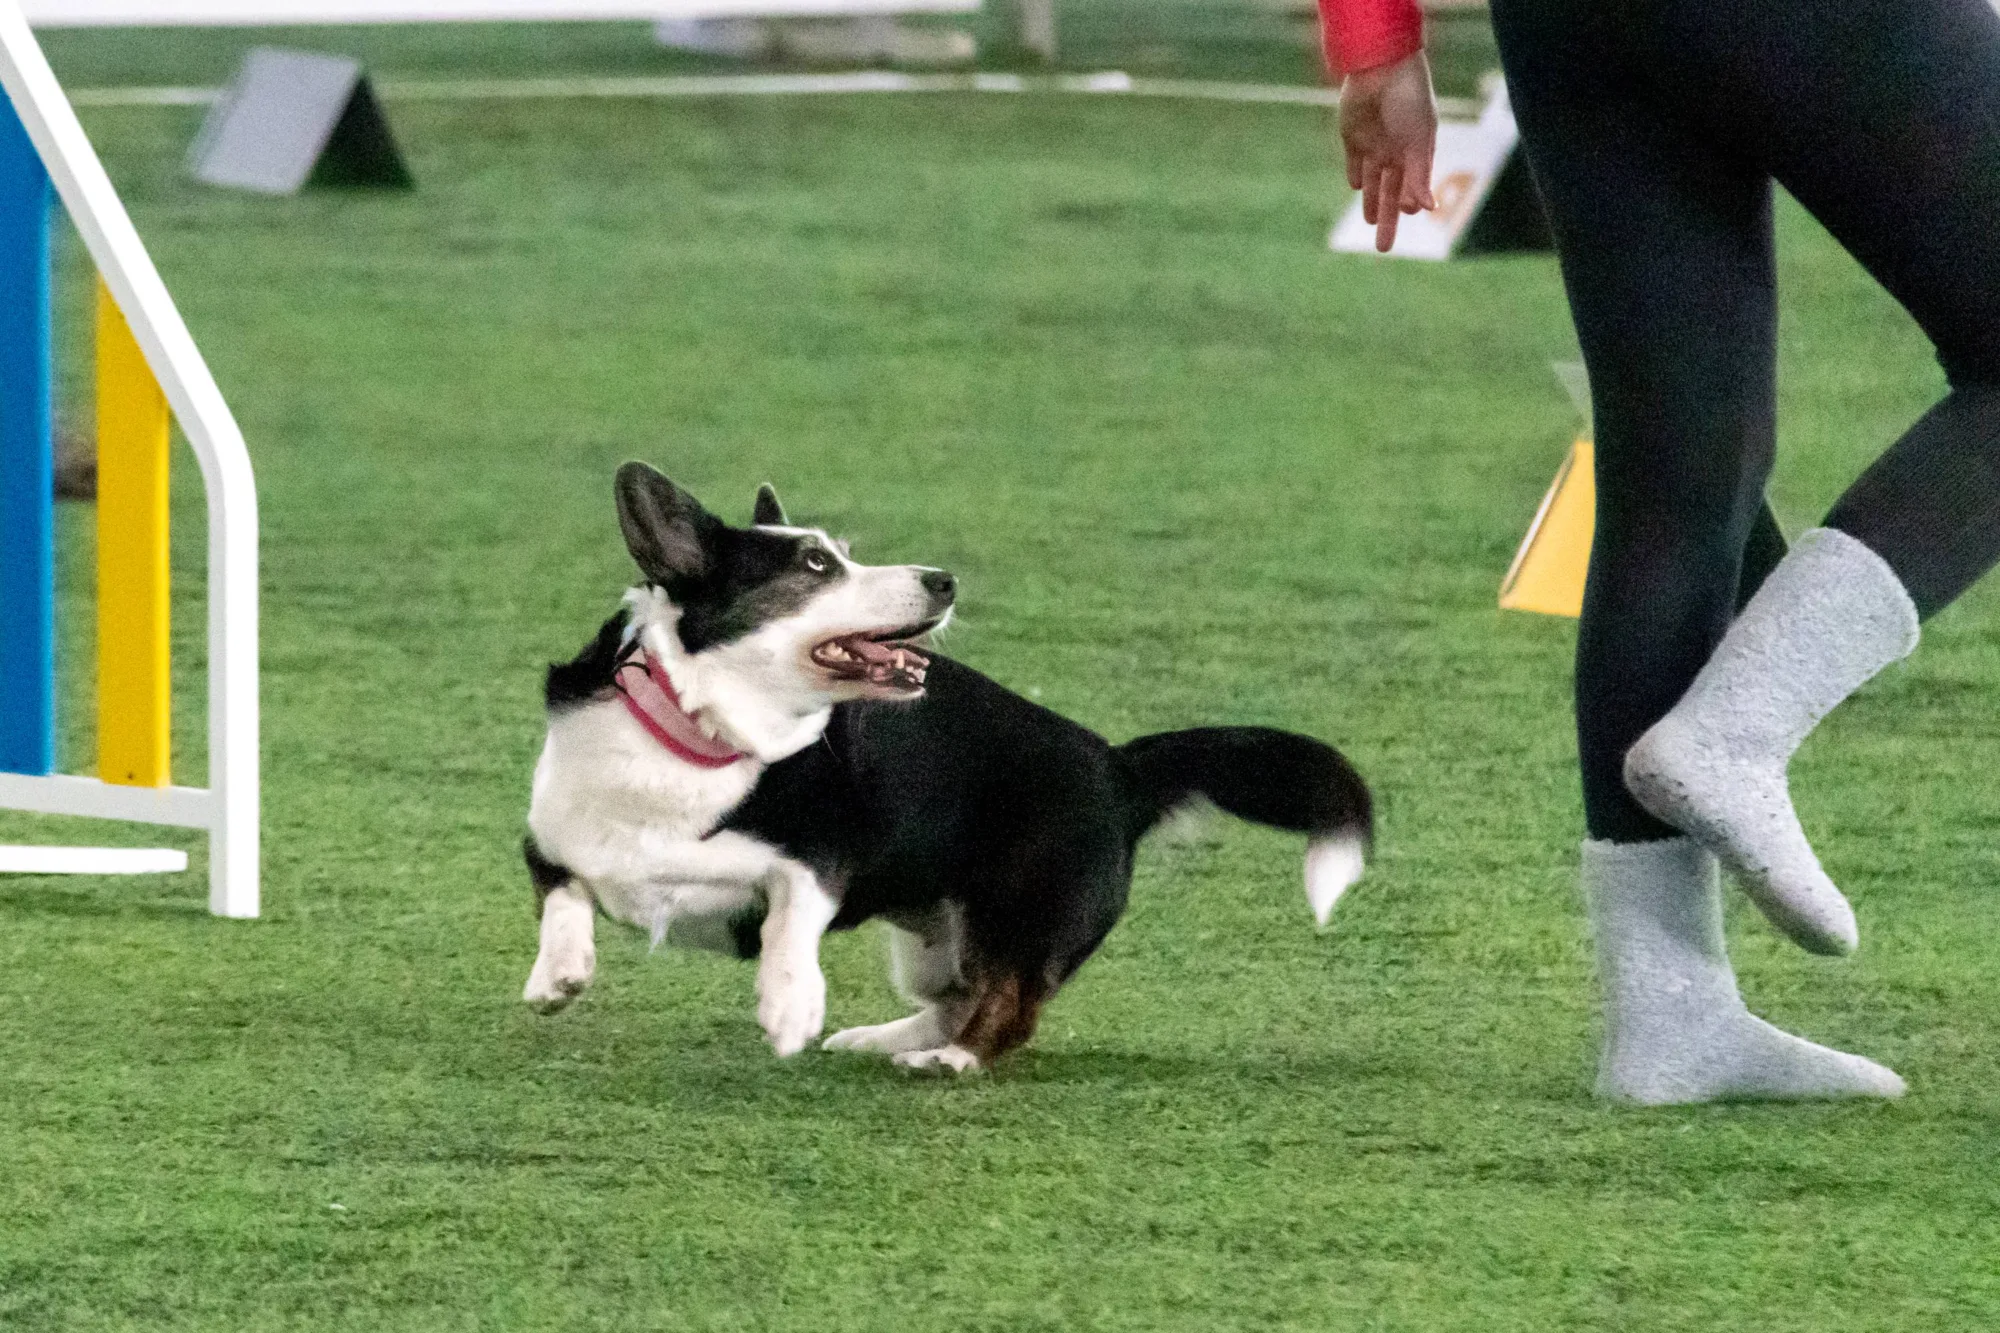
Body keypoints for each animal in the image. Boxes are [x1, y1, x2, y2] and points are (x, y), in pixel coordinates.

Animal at [522, 462, 1374, 1073]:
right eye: (815, 563)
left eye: (843, 552)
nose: (944, 580)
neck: (694, 730)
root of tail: (1118, 765)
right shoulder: (552, 840)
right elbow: (565, 896)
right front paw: (556, 977)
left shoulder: (823, 858)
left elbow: (791, 910)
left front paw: (790, 1009)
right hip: (939, 936)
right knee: (960, 995)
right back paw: (881, 1039)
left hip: (1018, 913)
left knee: (1009, 1006)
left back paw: (949, 1059)